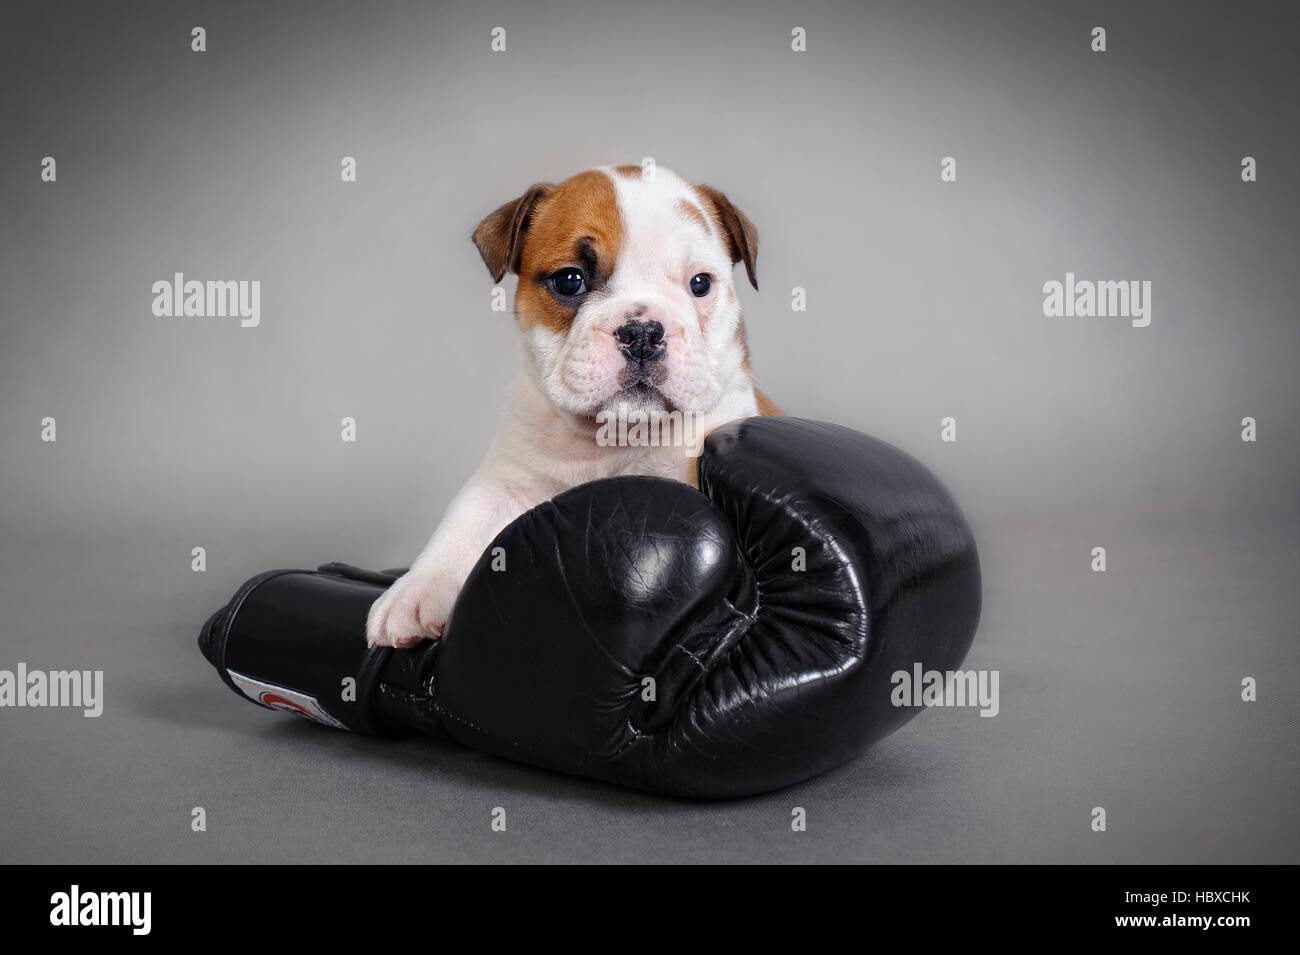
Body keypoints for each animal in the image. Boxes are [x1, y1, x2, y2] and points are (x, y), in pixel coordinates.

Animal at [364, 166, 780, 649]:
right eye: (569, 281)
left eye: (700, 284)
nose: (642, 332)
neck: (611, 437)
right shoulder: (504, 480)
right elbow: (464, 520)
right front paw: (417, 590)